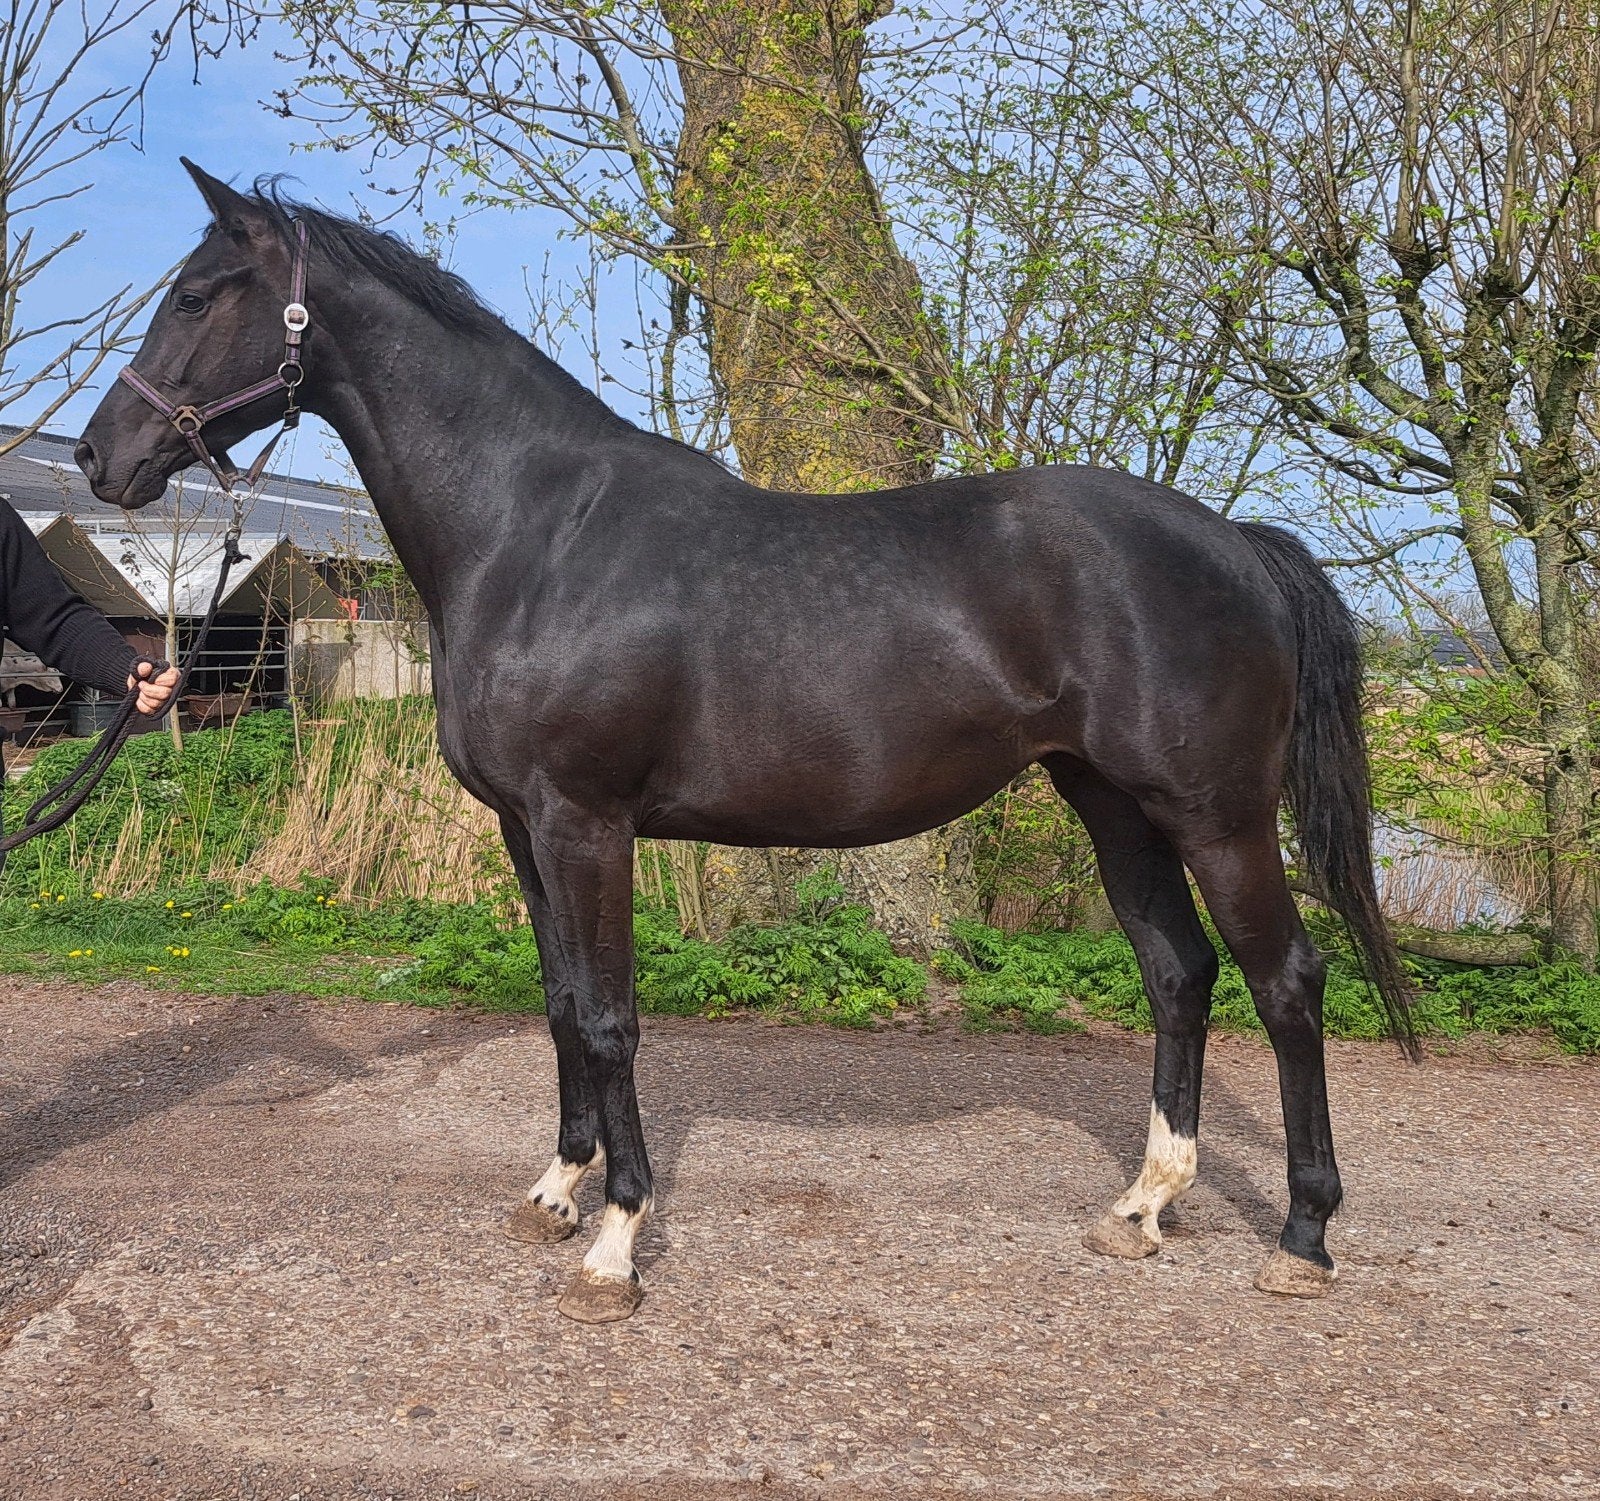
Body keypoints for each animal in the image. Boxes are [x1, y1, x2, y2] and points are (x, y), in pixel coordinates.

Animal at [76, 161, 1413, 1324]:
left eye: (197, 294)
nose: (101, 458)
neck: (538, 533)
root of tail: (1238, 541)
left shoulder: (587, 824)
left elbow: (610, 1017)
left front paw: (615, 1246)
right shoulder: (526, 832)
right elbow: (561, 1003)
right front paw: (555, 1192)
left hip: (1216, 814)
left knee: (1285, 983)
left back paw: (1301, 1237)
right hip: (1112, 805)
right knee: (1178, 974)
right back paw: (1142, 1206)